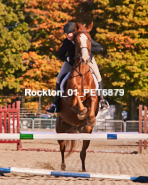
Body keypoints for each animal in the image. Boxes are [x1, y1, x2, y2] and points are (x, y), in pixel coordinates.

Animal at [56, 22, 99, 172]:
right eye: (77, 41)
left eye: (89, 39)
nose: (85, 59)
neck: (81, 74)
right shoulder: (70, 99)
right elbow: (77, 99)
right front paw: (82, 112)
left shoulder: (93, 96)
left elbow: (92, 102)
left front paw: (90, 118)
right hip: (60, 130)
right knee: (62, 148)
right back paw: (63, 166)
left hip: (86, 133)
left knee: (83, 152)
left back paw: (84, 170)